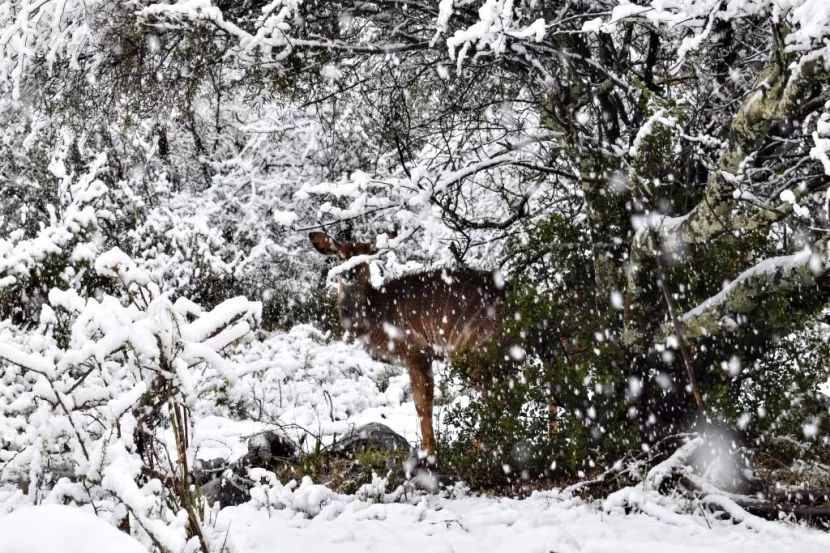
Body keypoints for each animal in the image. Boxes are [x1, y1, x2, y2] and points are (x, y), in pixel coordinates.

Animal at [308, 230, 510, 458]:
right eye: (340, 255)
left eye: (364, 256)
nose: (348, 274)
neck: (373, 314)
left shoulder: (416, 351)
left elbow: (422, 403)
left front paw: (428, 451)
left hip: (475, 349)